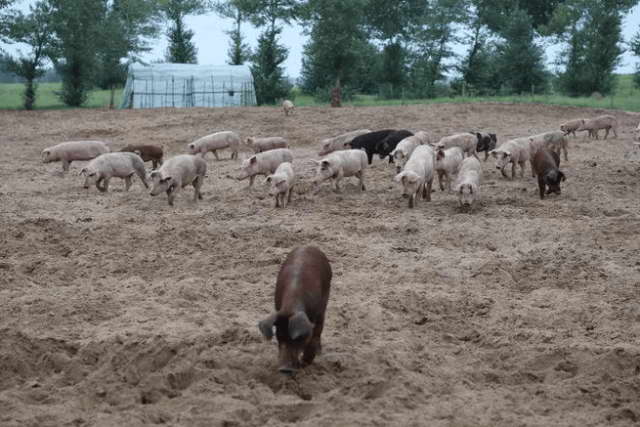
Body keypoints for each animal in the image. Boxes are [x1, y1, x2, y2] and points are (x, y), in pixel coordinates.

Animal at [258, 246, 332, 374]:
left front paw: (304, 364)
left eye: (298, 338)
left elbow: (314, 336)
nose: (284, 369)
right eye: (279, 335)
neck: (291, 306)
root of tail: (309, 246)